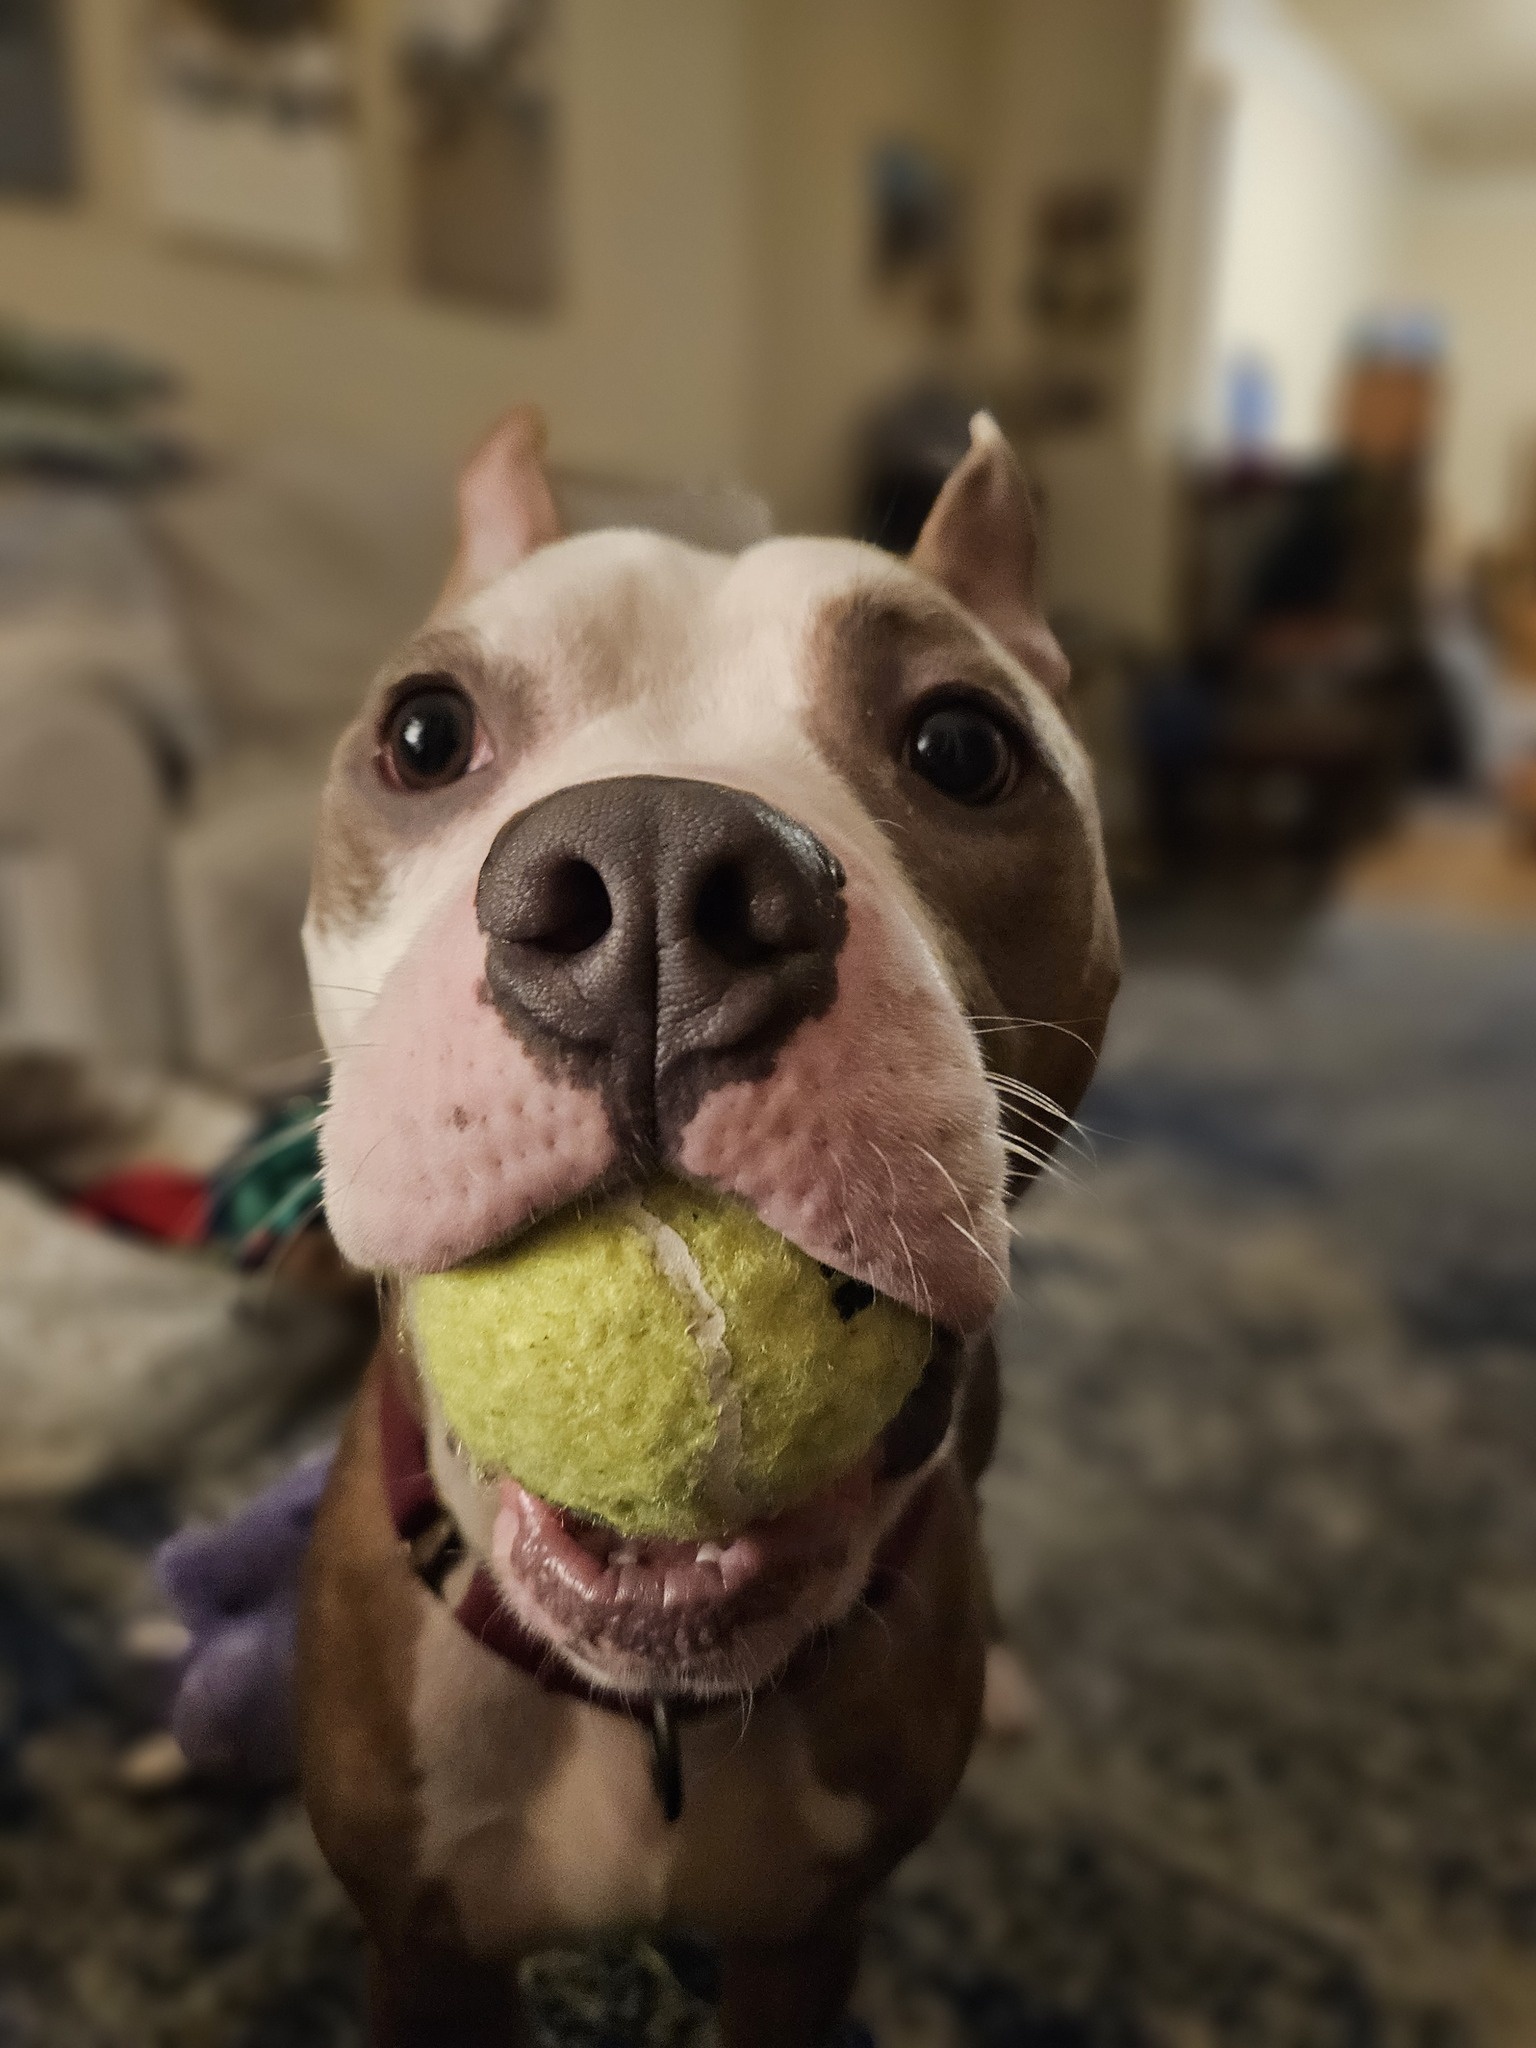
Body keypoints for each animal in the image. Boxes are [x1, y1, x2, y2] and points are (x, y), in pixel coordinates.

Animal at [296, 407, 1122, 2039]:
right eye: (424, 734)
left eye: (964, 745)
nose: (657, 873)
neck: (650, 1710)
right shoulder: (420, 1953)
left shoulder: (807, 1945)